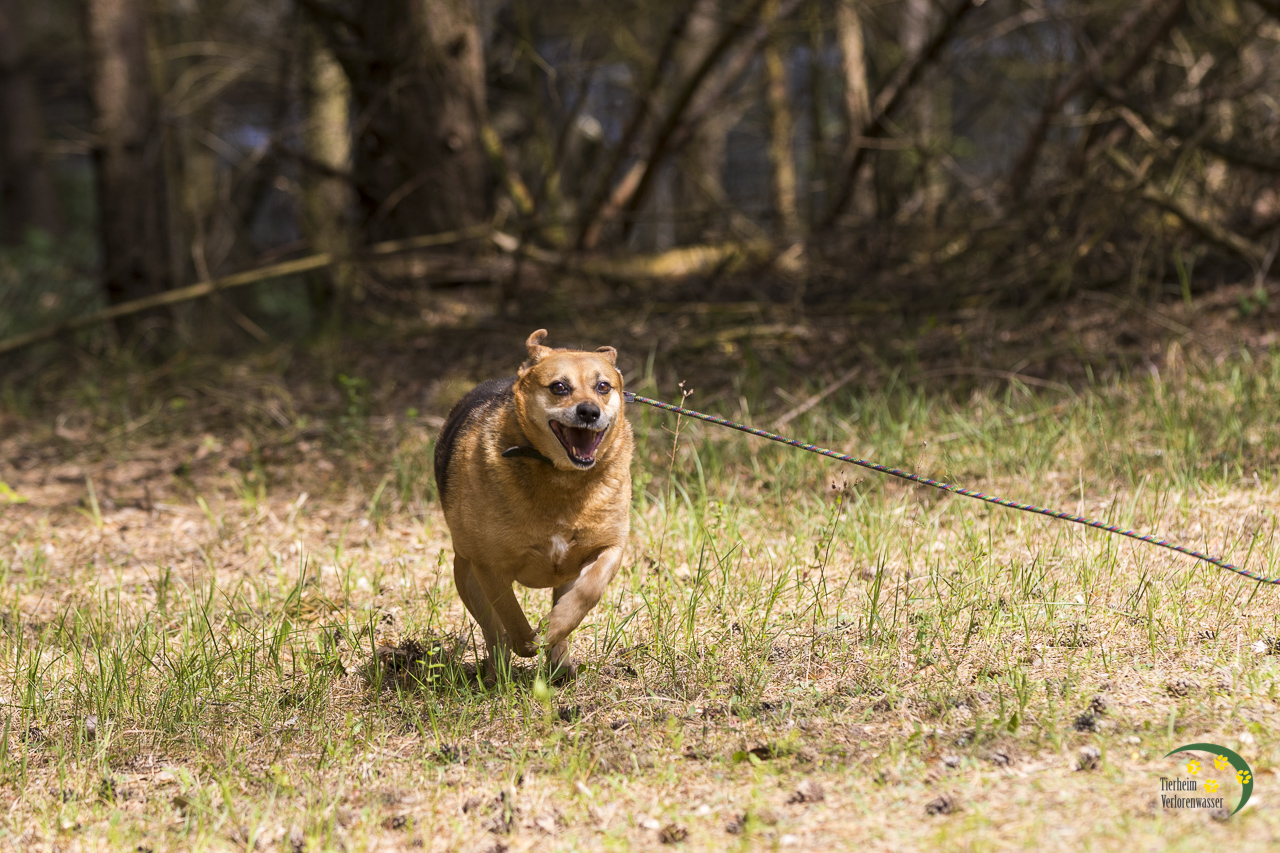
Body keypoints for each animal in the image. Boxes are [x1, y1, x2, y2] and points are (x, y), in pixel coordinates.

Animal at [433, 330, 633, 683]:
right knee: (492, 630)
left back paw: (560, 663)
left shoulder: (609, 547)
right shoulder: (489, 566)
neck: (561, 477)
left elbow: (586, 593)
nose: (589, 412)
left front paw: (553, 628)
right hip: (466, 572)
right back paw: (497, 672)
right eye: (559, 387)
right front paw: (527, 642)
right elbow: (509, 613)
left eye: (603, 386)